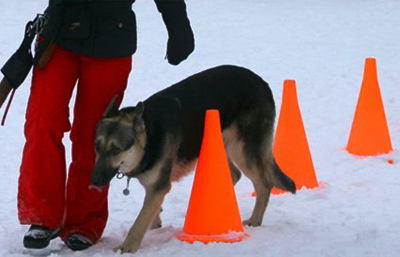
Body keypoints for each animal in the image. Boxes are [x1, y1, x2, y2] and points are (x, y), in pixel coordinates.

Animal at [91, 64, 296, 252]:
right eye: (97, 147)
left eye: (116, 150)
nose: (93, 182)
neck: (149, 135)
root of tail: (261, 82)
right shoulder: (154, 186)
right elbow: (151, 212)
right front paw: (156, 223)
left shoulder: (159, 186)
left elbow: (140, 221)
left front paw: (127, 246)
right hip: (217, 144)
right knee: (235, 174)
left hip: (242, 151)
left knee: (263, 185)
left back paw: (255, 220)